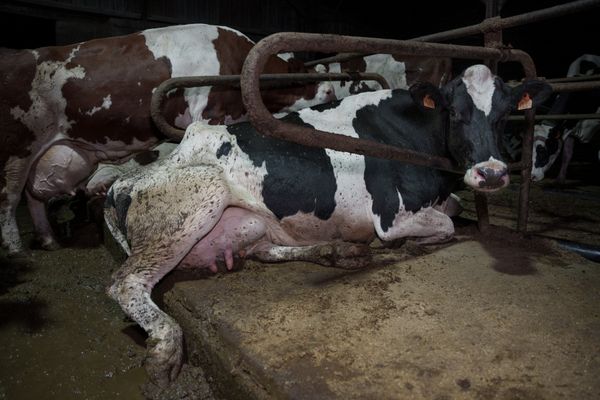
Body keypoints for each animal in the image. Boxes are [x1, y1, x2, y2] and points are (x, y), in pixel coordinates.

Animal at [0, 23, 338, 255]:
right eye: (312, 78)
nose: (332, 92)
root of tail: (17, 56)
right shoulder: (208, 113)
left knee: (33, 195)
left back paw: (48, 240)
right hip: (19, 145)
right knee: (10, 196)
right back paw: (15, 247)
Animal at [102, 65, 548, 384]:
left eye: (506, 115)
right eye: (454, 112)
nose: (492, 174)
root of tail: (125, 181)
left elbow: (453, 211)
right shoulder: (392, 214)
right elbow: (445, 226)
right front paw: (408, 245)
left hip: (250, 222)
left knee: (266, 251)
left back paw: (338, 251)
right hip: (201, 195)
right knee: (125, 283)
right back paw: (165, 347)